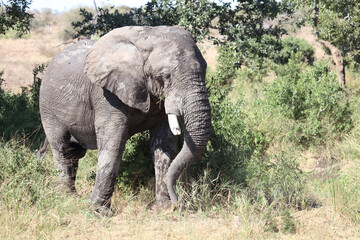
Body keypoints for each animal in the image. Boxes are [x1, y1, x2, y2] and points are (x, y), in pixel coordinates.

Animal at [40, 26, 211, 216]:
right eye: (166, 76)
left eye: (205, 69)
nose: (177, 202)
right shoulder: (107, 95)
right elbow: (113, 145)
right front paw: (99, 213)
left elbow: (164, 145)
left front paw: (163, 208)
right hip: (48, 106)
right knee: (61, 148)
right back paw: (66, 197)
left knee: (74, 152)